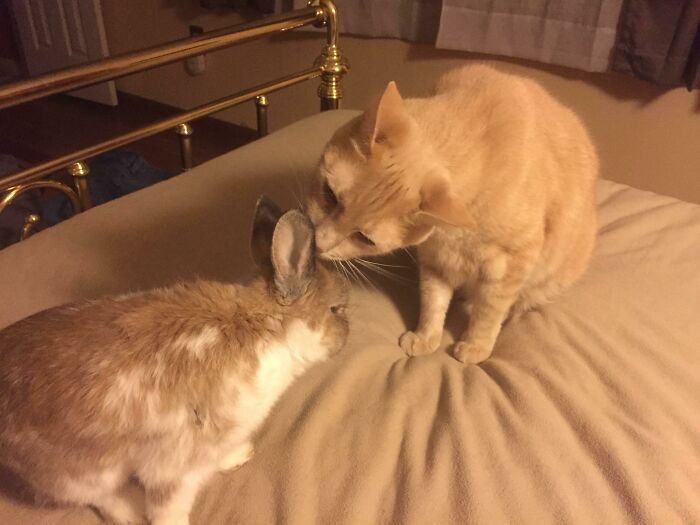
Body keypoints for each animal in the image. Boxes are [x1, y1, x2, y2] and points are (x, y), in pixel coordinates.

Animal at [0, 196, 349, 525]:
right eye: (336, 309)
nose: (347, 337)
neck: (266, 325)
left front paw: (238, 455)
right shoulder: (175, 467)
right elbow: (167, 508)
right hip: (81, 473)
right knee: (99, 498)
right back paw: (129, 514)